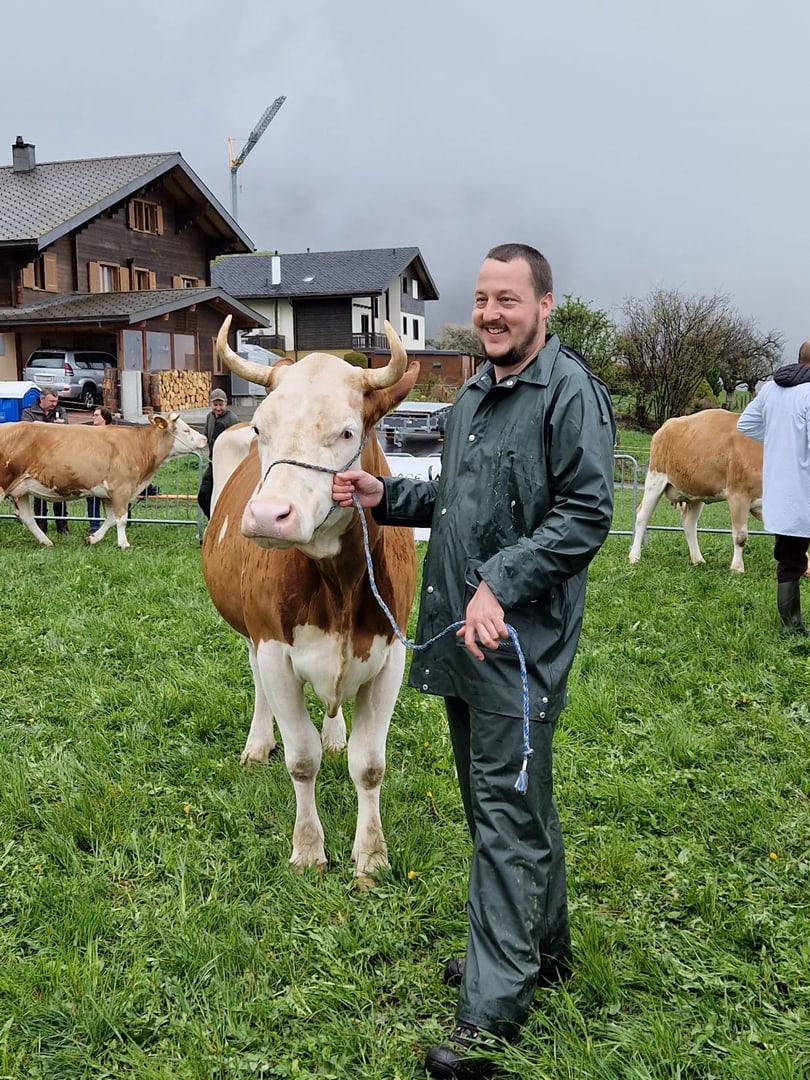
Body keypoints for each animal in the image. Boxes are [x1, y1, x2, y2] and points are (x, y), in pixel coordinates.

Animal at [0, 413, 207, 548]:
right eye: (186, 430)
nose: (205, 438)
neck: (138, 445)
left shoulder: (108, 493)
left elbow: (110, 519)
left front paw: (92, 539)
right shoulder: (121, 488)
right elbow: (121, 519)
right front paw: (124, 544)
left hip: (21, 489)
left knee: (27, 518)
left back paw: (46, 541)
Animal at [202, 317, 419, 883]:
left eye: (346, 432)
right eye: (262, 430)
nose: (267, 515)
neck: (338, 585)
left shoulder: (390, 655)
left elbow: (369, 764)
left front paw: (371, 856)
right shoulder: (274, 649)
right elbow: (301, 758)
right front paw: (307, 850)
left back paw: (335, 733)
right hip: (250, 633)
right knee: (257, 682)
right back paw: (258, 743)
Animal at [628, 408, 763, 573]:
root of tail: (667, 425)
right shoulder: (738, 495)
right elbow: (740, 536)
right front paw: (737, 568)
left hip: (696, 493)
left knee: (689, 523)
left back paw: (697, 559)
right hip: (655, 479)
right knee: (642, 516)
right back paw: (634, 557)